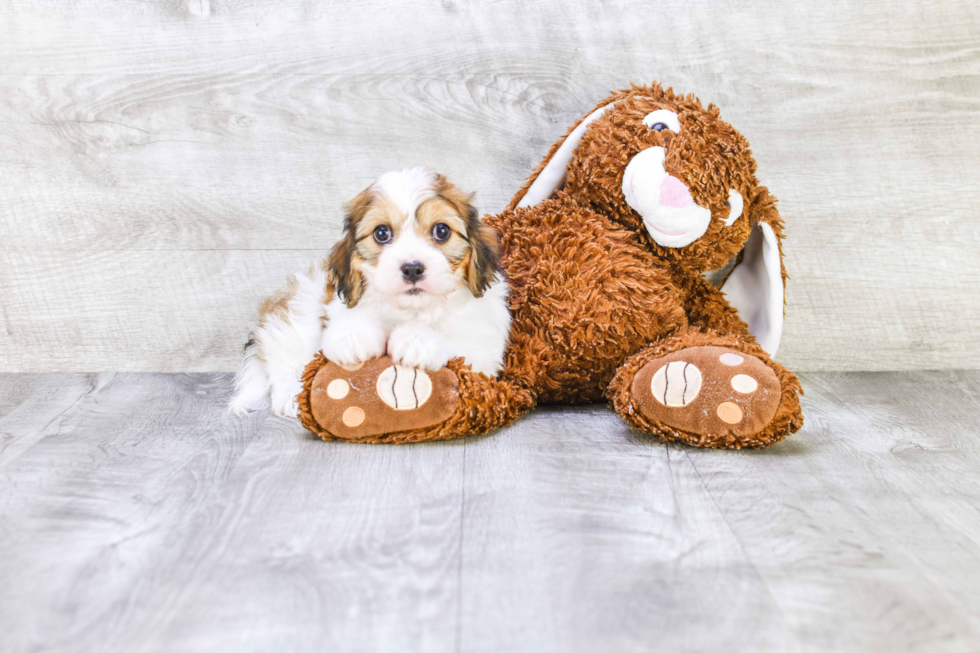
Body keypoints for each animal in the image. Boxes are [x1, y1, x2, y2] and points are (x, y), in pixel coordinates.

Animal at [227, 166, 510, 416]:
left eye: (441, 230)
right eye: (381, 233)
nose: (412, 268)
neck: (411, 310)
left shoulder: (482, 343)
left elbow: (462, 344)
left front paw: (417, 340)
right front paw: (353, 336)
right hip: (295, 314)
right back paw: (291, 397)